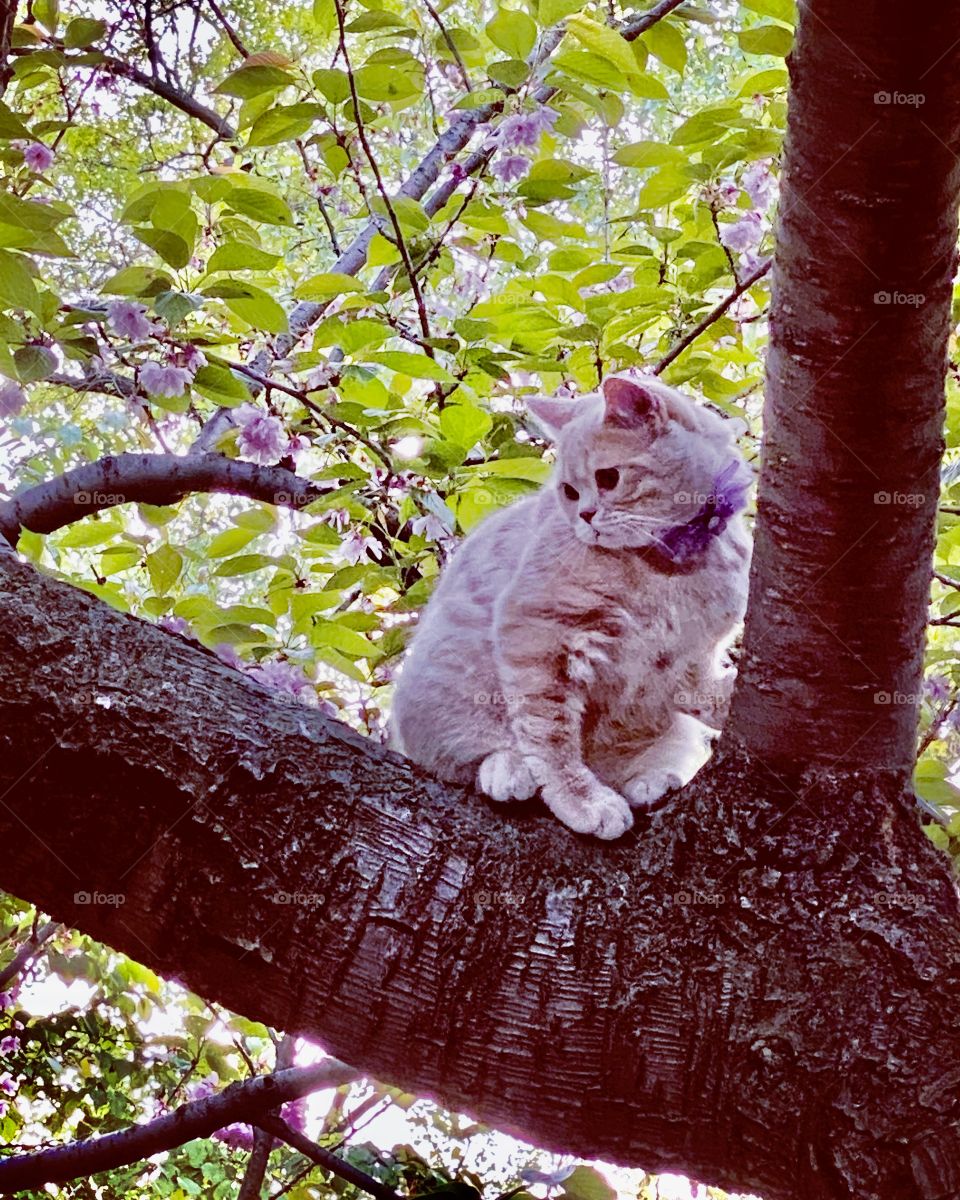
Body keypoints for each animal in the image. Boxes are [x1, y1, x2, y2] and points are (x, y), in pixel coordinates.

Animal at [388, 372, 748, 835]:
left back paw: (650, 779)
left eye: (608, 478)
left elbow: (698, 691)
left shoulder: (690, 653)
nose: (586, 517)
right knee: (471, 755)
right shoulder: (539, 635)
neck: (666, 568)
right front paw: (582, 800)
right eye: (570, 492)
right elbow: (551, 737)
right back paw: (508, 770)